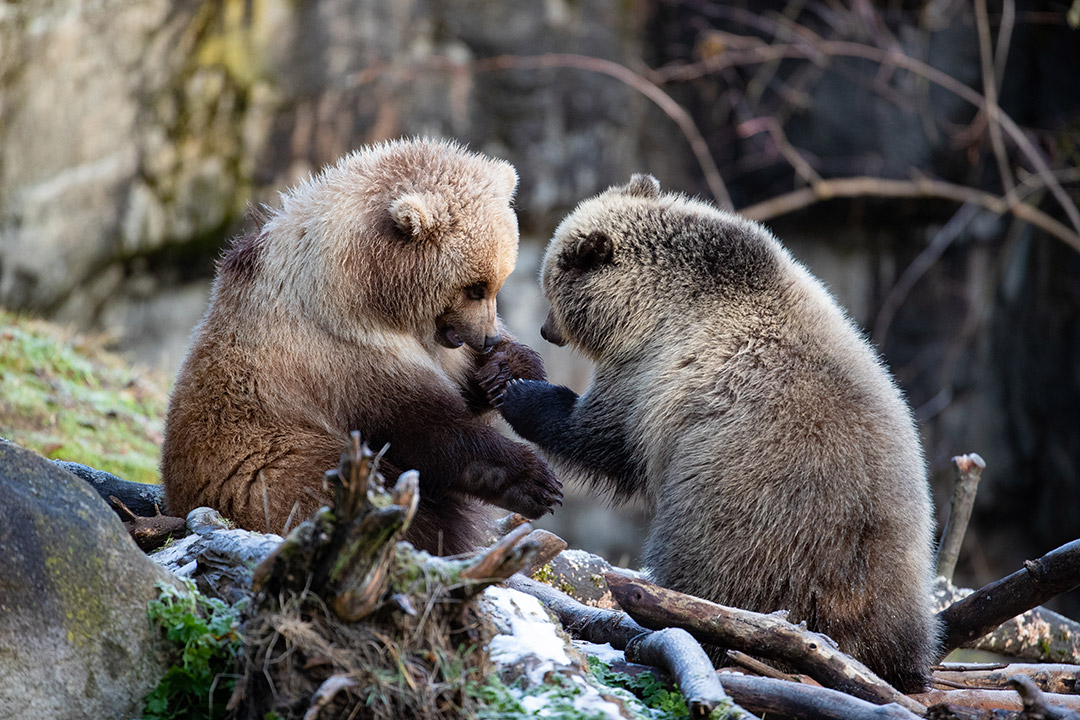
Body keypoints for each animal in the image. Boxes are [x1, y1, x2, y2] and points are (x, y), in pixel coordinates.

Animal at [161, 138, 562, 555]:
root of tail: (177, 499)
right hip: (278, 466)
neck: (367, 291)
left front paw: (509, 369)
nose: (489, 338)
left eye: (499, 281)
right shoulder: (341, 356)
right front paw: (536, 482)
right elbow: (430, 432)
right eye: (475, 287)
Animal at [493, 174, 939, 692]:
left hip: (743, 517)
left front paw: (521, 393)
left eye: (551, 283)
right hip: (897, 553)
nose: (546, 330)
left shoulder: (652, 372)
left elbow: (603, 436)